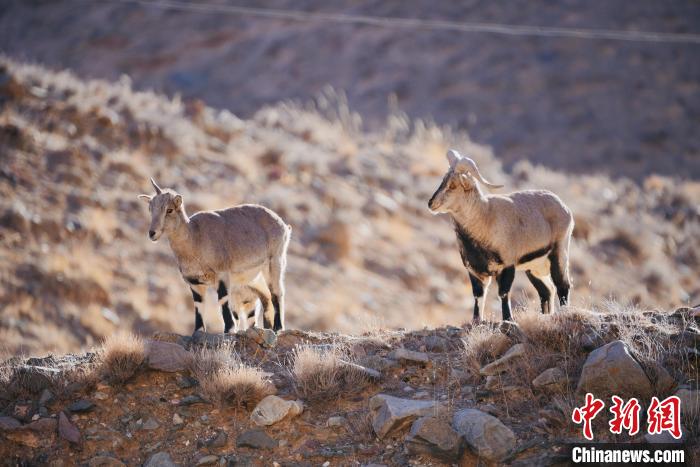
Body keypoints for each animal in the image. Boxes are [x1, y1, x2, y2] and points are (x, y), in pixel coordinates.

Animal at [426, 150, 576, 322]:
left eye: (452, 185)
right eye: (443, 180)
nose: (431, 203)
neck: (485, 218)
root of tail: (564, 208)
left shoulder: (507, 265)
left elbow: (503, 293)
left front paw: (508, 319)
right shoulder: (475, 271)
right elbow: (478, 295)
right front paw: (476, 321)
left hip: (559, 253)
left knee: (562, 285)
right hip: (533, 268)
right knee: (547, 290)